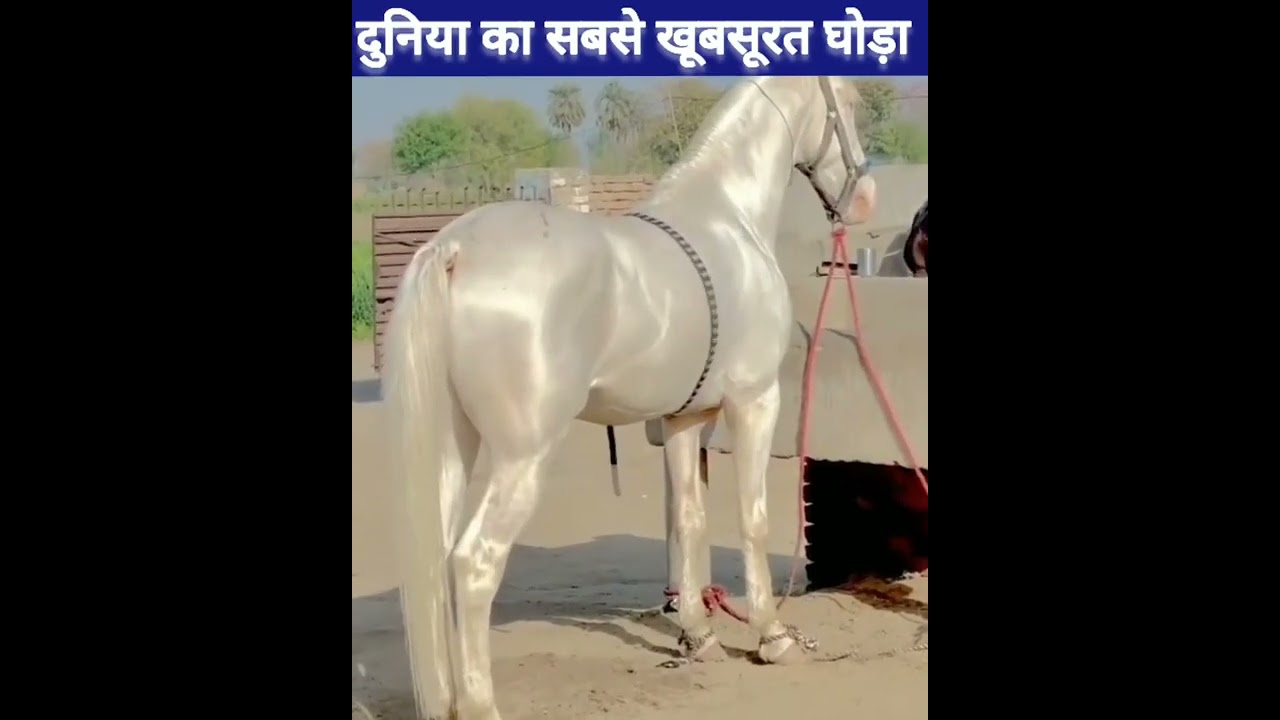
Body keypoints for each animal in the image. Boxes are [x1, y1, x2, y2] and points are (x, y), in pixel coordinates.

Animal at [383, 76, 878, 720]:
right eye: (851, 104)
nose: (865, 199)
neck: (727, 218)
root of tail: (455, 249)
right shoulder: (754, 403)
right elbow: (752, 518)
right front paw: (774, 638)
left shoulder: (687, 418)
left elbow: (688, 520)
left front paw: (699, 635)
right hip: (521, 458)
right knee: (473, 564)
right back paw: (480, 704)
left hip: (451, 445)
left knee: (436, 559)